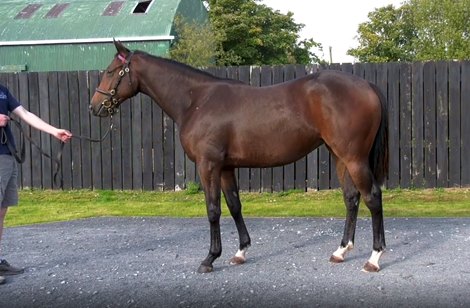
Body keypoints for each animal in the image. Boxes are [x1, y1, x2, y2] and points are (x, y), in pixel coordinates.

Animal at [89, 39, 390, 274]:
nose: (95, 107)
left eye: (111, 71)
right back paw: (341, 251)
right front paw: (240, 252)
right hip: (339, 156)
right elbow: (234, 206)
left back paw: (374, 258)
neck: (196, 101)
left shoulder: (208, 165)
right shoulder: (225, 167)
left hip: (354, 158)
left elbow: (213, 209)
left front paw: (209, 259)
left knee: (372, 197)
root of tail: (367, 85)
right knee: (351, 199)